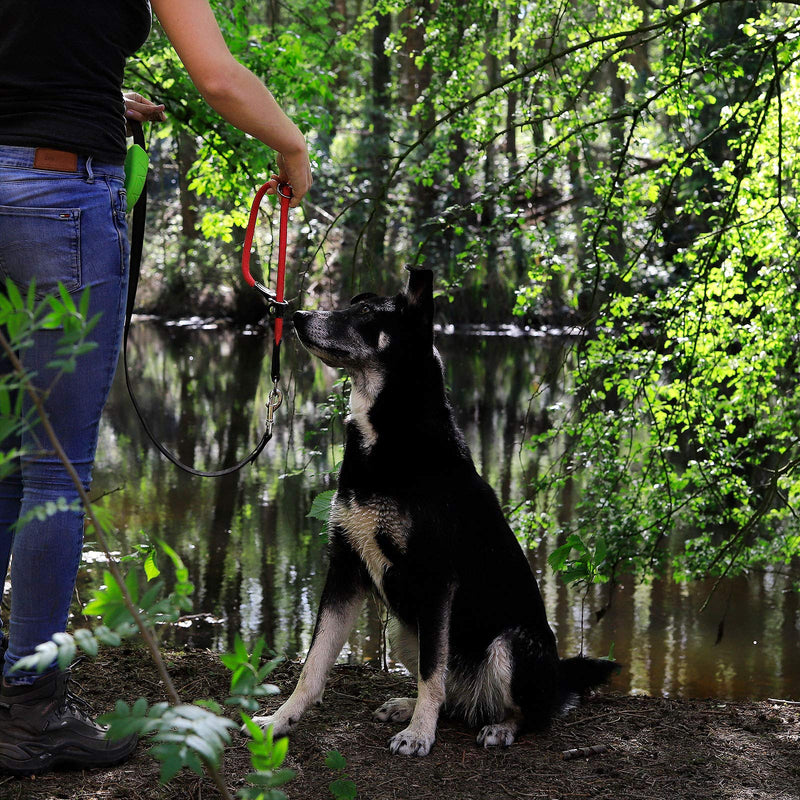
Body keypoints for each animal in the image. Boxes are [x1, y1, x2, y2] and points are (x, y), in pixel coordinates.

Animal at [253, 268, 616, 756]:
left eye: (365, 314)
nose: (296, 316)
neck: (388, 433)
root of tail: (559, 680)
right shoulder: (345, 569)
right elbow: (314, 662)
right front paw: (281, 720)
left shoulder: (436, 580)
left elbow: (431, 673)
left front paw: (420, 735)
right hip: (407, 631)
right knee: (455, 695)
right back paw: (409, 706)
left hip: (508, 643)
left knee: (525, 711)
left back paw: (499, 726)